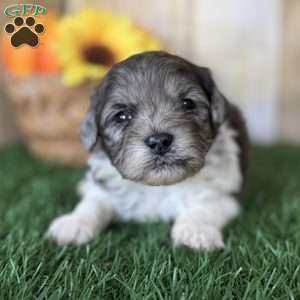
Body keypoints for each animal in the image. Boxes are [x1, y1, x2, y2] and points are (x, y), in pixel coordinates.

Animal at [48, 51, 250, 248]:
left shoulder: (224, 196)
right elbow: (94, 202)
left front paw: (195, 230)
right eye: (122, 116)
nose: (159, 141)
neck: (158, 187)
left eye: (188, 103)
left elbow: (205, 206)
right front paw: (74, 223)